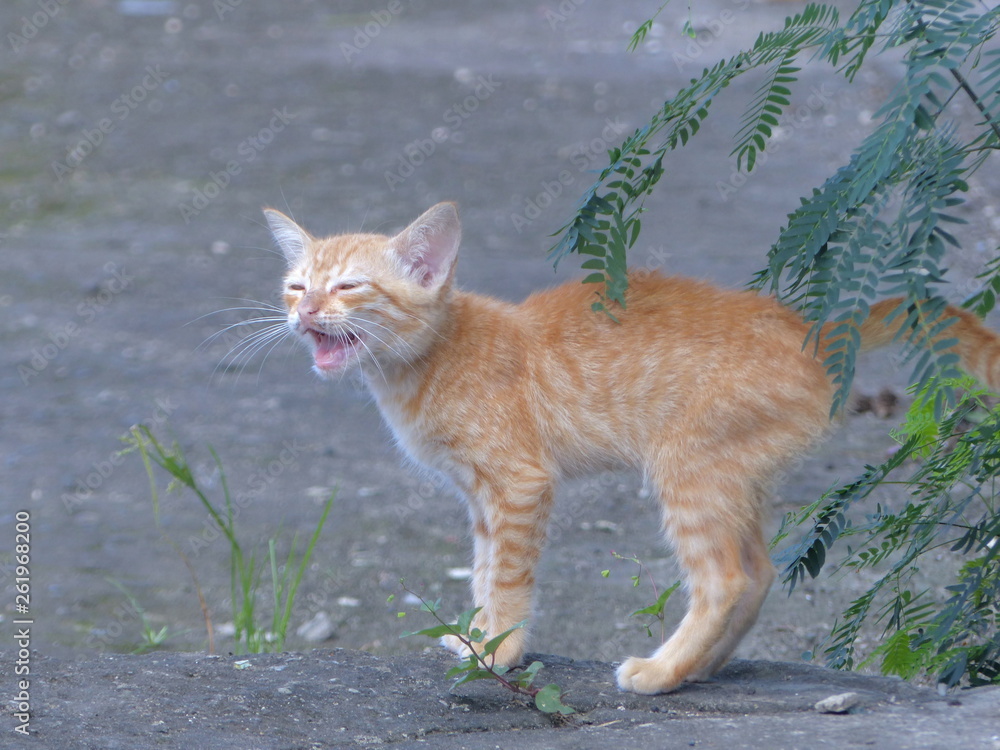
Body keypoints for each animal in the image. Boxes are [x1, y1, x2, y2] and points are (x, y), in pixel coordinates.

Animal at [264, 203, 1000, 696]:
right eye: (298, 286)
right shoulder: (481, 500)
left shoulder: (519, 485)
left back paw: (663, 672)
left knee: (725, 579)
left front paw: (499, 653)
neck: (433, 358)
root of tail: (807, 330)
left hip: (688, 471)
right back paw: (701, 669)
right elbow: (480, 573)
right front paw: (477, 637)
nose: (303, 314)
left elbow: (506, 578)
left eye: (348, 286)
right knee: (759, 574)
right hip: (736, 478)